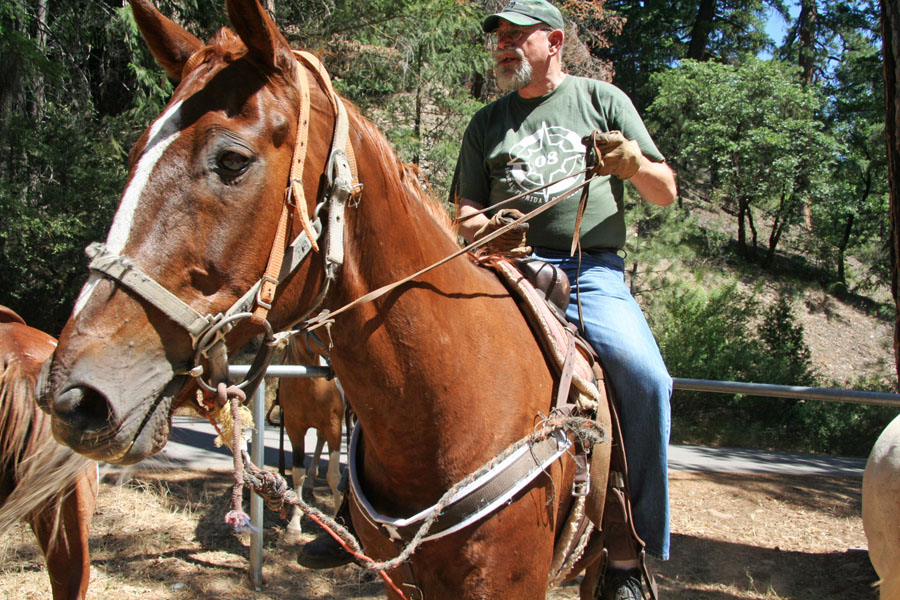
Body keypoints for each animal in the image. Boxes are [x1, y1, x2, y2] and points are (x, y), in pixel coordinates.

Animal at [276, 337, 344, 543]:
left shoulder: (334, 427)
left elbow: (333, 476)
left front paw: (337, 517)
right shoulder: (294, 429)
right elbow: (298, 473)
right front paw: (294, 524)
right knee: (319, 441)